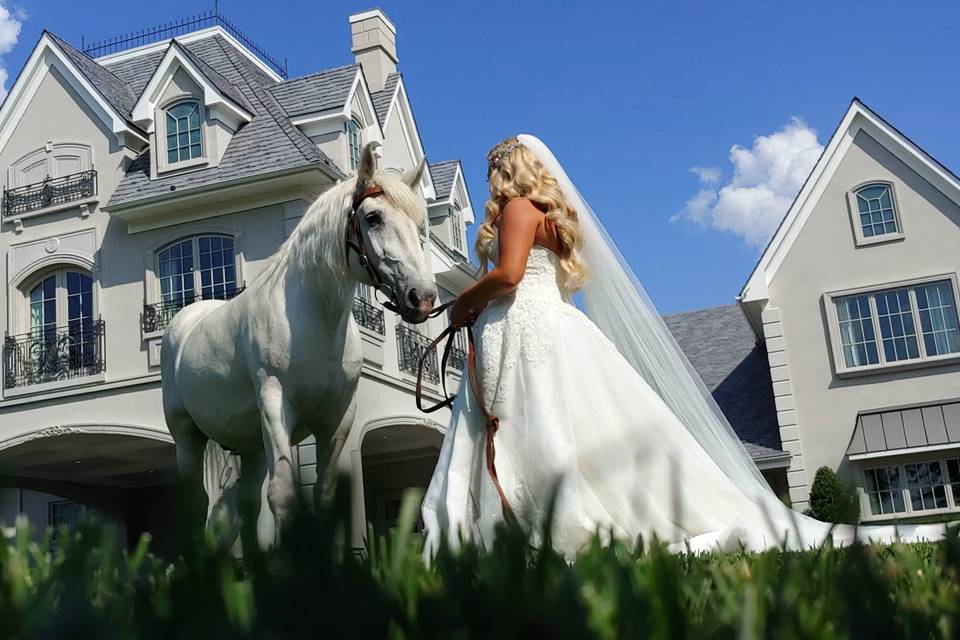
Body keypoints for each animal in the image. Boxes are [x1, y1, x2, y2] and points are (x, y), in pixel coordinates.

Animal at [162, 142, 438, 548]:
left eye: (420, 226)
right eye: (373, 217)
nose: (422, 298)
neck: (312, 321)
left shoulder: (338, 420)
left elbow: (322, 497)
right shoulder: (276, 408)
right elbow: (282, 496)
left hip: (249, 445)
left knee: (244, 504)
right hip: (187, 436)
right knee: (197, 503)